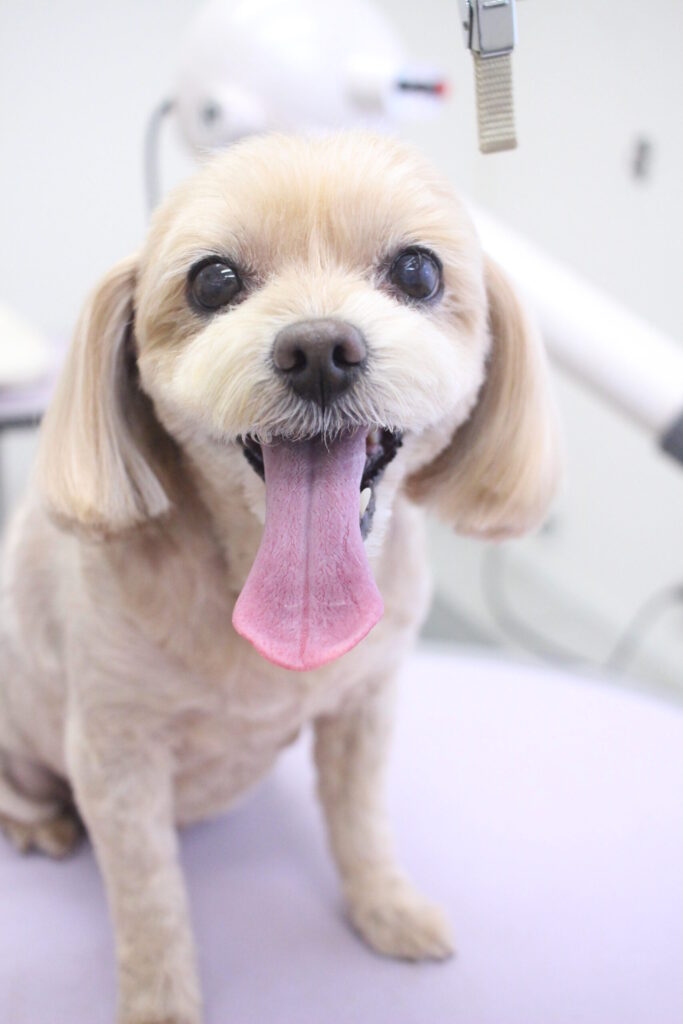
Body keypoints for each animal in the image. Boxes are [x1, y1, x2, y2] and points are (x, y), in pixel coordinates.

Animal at [0, 131, 558, 1023]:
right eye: (213, 279)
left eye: (418, 271)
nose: (320, 350)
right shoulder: (115, 754)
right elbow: (149, 897)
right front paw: (160, 999)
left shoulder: (365, 706)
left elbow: (360, 821)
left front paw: (386, 907)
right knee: (18, 791)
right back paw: (39, 825)